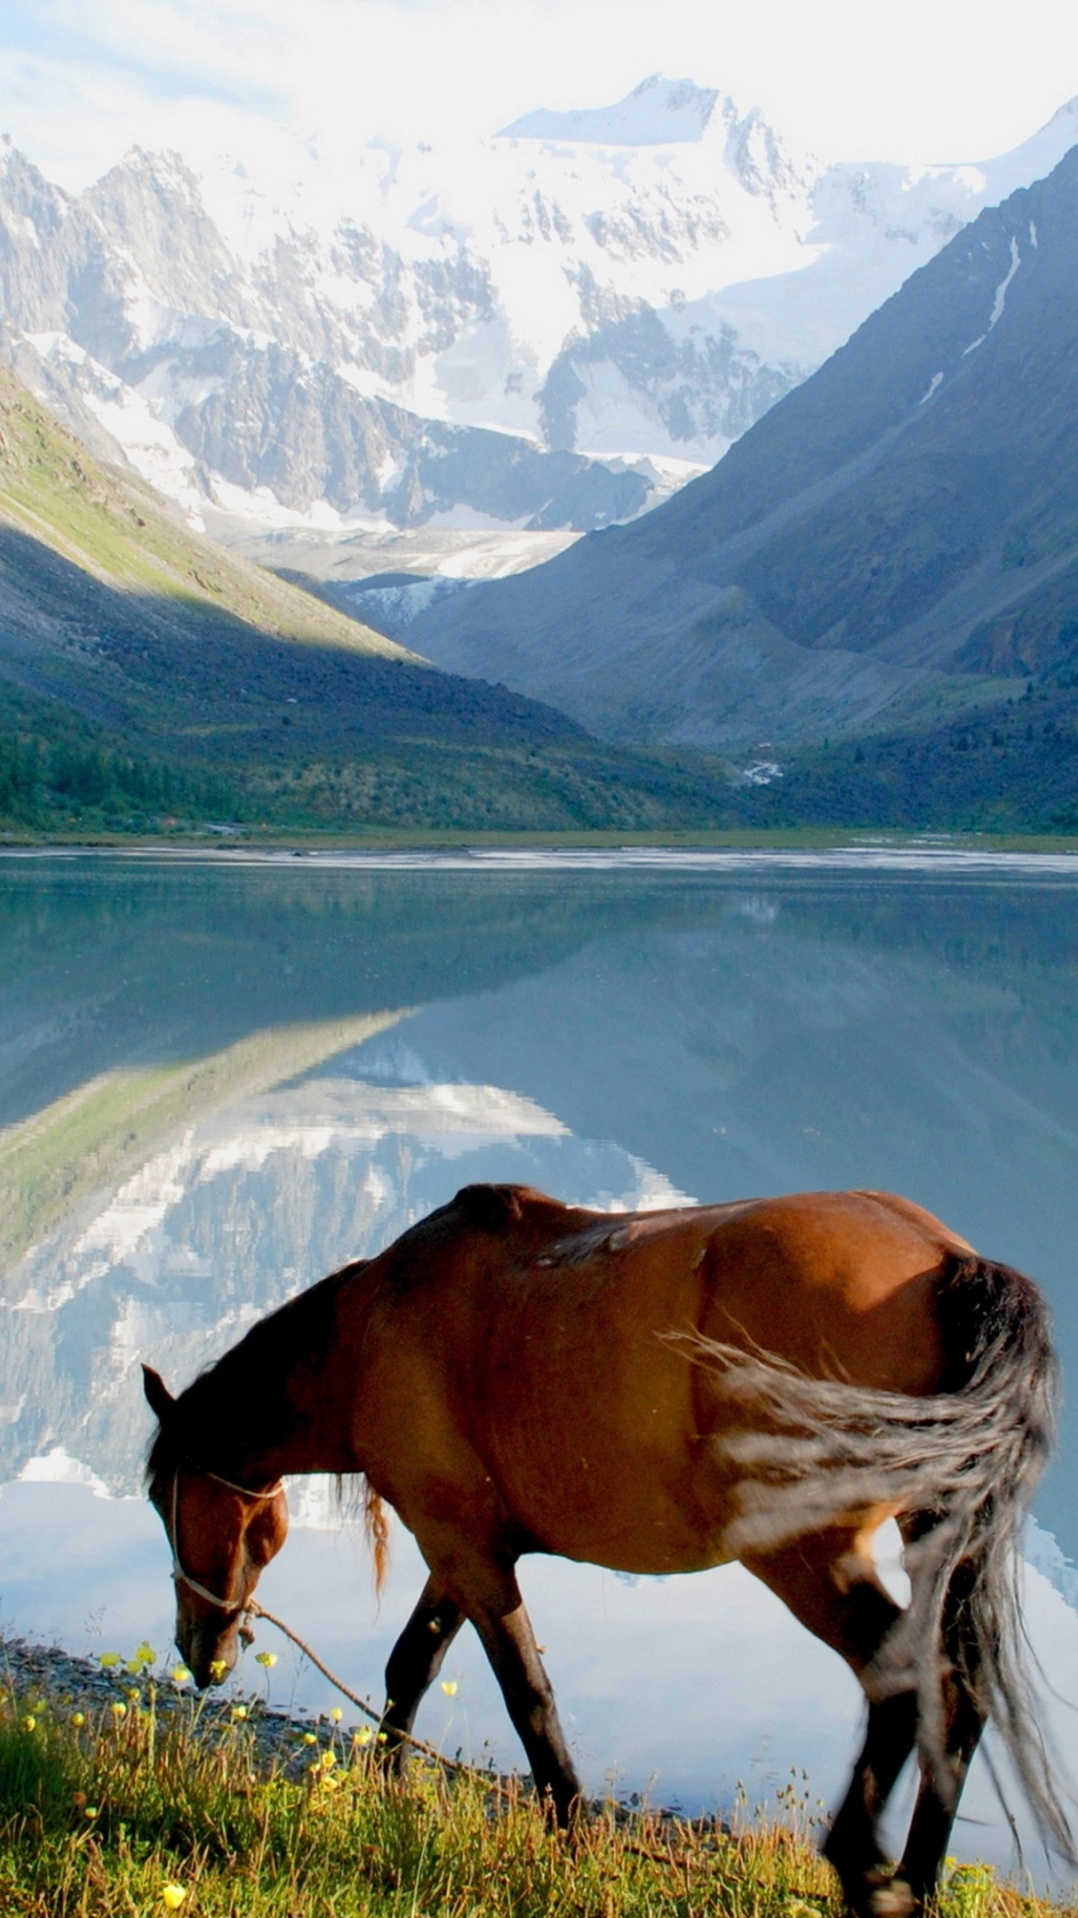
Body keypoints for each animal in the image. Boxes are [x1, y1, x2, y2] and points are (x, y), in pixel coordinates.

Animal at [142, 1173, 1066, 1910]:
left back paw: (862, 1871)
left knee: (903, 1682)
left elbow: (524, 1692)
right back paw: (917, 1882)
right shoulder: (465, 1544)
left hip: (804, 1554)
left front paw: (569, 1830)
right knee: (959, 1692)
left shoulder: (462, 1548)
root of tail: (944, 1262)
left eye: (158, 1495)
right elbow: (415, 1664)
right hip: (932, 1535)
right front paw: (386, 1786)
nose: (199, 1651)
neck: (374, 1329)